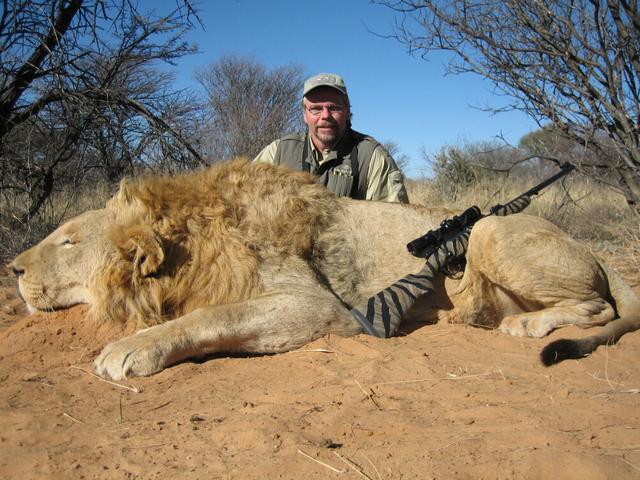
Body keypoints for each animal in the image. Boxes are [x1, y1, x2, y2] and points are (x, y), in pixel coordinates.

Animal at [11, 159, 640, 380]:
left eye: (67, 240)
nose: (12, 268)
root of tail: (592, 247)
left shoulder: (318, 307)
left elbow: (210, 318)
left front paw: (128, 349)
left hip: (488, 232)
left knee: (598, 306)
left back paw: (521, 325)